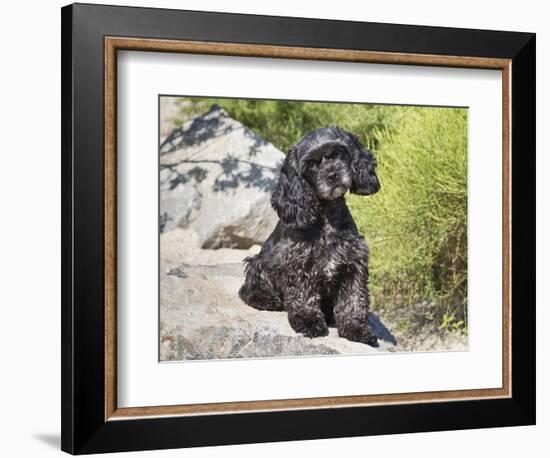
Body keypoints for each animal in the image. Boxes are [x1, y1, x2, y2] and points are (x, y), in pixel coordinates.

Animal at [239, 127, 382, 346]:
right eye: (312, 164)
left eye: (338, 153)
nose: (332, 174)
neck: (327, 218)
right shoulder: (298, 263)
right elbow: (303, 296)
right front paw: (309, 321)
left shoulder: (353, 264)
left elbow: (354, 300)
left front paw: (356, 329)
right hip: (258, 263)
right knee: (247, 290)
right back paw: (267, 300)